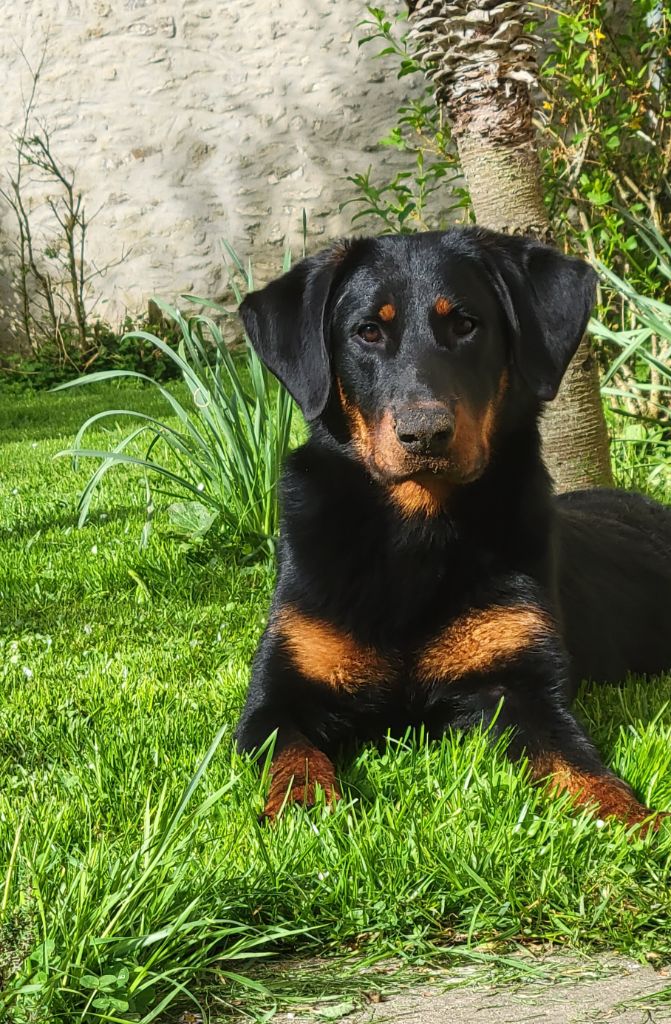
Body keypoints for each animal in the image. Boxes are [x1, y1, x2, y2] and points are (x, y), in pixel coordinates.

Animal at [233, 228, 671, 827]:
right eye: (367, 331)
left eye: (466, 324)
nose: (425, 433)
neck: (418, 531)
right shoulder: (276, 695)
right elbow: (295, 755)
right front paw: (305, 807)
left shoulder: (523, 685)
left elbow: (577, 763)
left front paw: (632, 818)